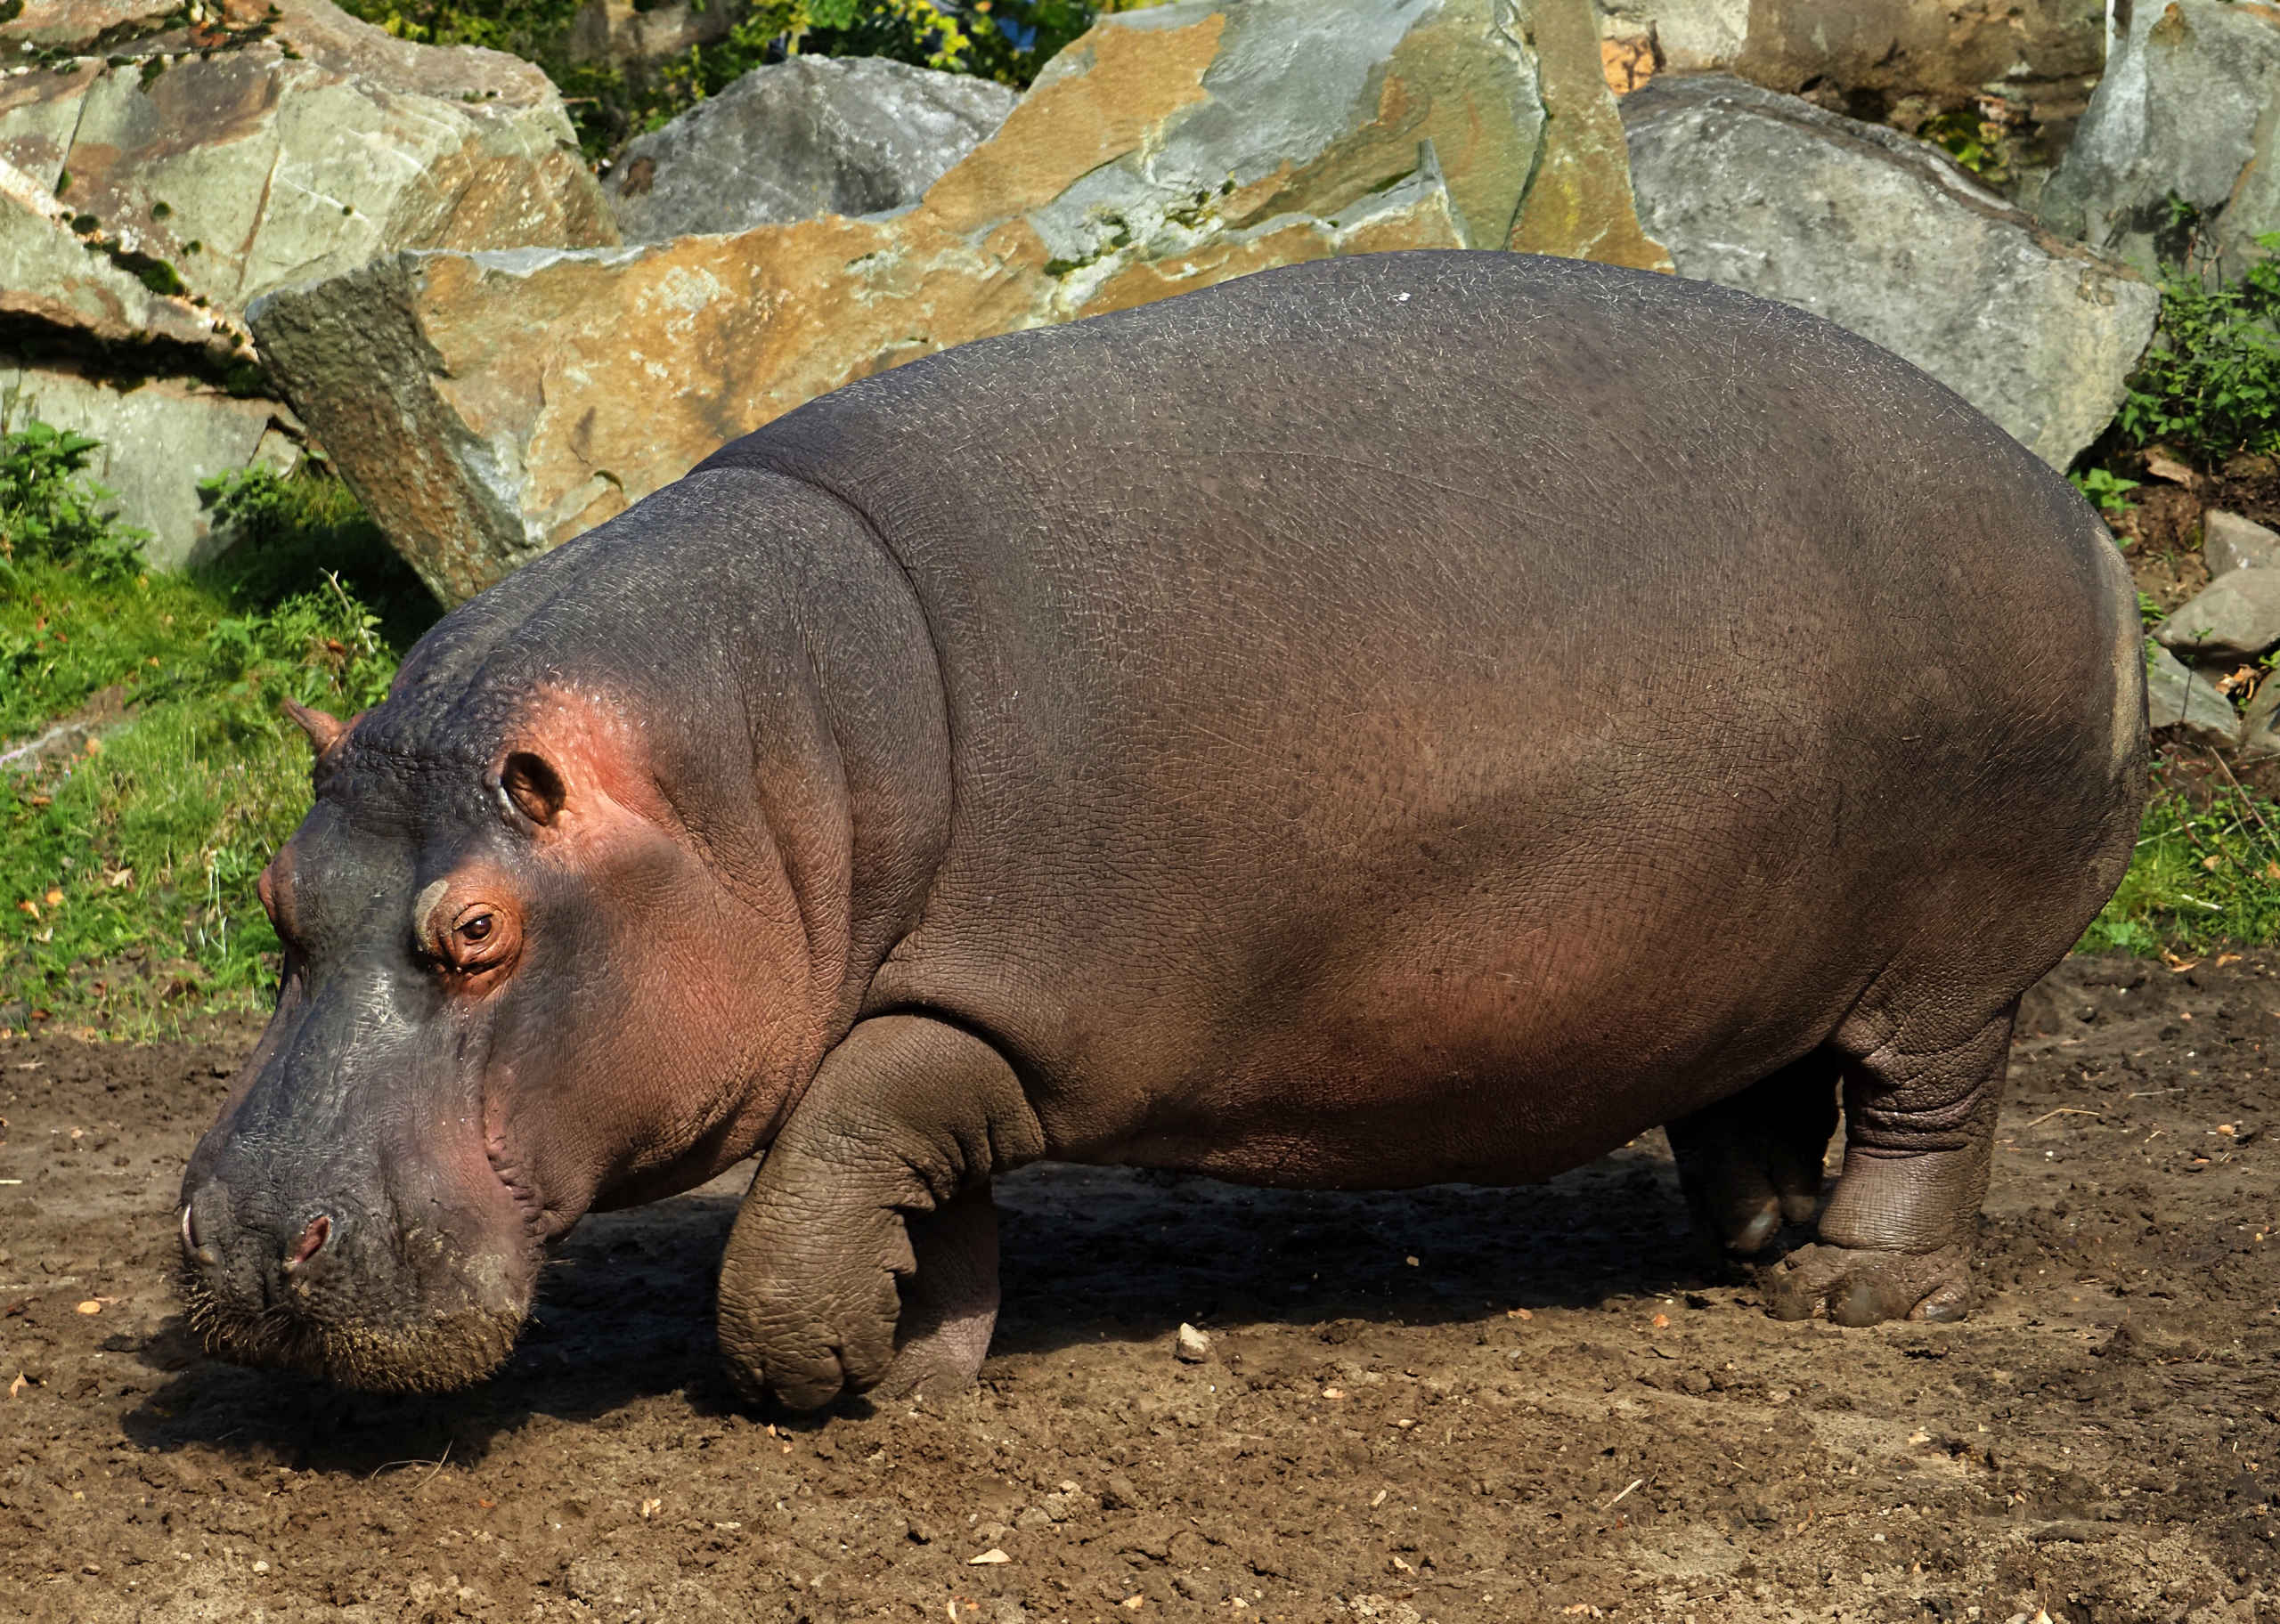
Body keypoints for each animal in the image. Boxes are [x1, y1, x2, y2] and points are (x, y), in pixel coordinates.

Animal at [178, 249, 2147, 1406]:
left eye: (478, 932)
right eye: (277, 896)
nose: (235, 1245)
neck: (756, 768)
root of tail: (2071, 516)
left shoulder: (996, 1004)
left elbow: (821, 1176)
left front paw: (821, 1368)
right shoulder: (942, 1016)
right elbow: (888, 1174)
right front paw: (924, 1365)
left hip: (1956, 951)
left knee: (1928, 1107)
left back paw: (1851, 1296)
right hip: (1754, 941)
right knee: (1752, 1088)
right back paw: (1742, 1250)